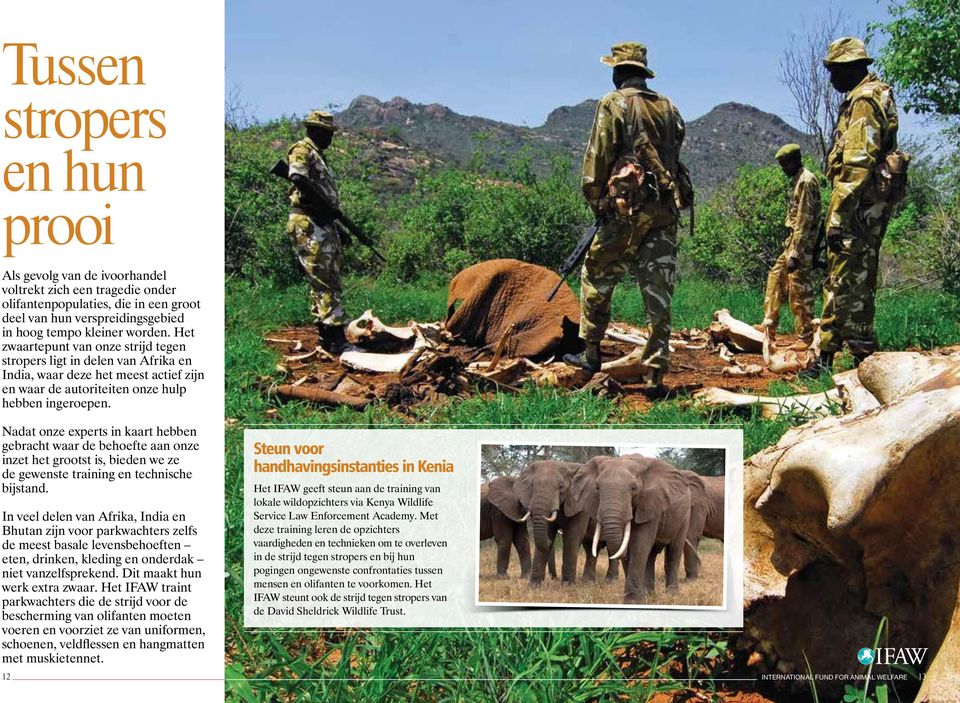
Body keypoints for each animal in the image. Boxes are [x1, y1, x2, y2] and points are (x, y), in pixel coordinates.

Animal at [572, 456, 692, 604]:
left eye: (634, 488)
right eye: (597, 488)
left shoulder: (649, 504)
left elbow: (639, 544)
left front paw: (633, 602)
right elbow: (630, 548)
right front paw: (639, 598)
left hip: (685, 515)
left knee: (674, 551)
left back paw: (672, 595)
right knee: (651, 555)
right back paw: (649, 594)